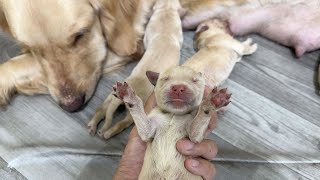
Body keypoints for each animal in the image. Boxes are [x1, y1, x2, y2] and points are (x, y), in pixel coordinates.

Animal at [87, 0, 184, 139]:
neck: (166, 13)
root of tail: (122, 95)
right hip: (133, 111)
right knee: (122, 124)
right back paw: (108, 133)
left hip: (110, 97)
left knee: (101, 110)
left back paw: (94, 126)